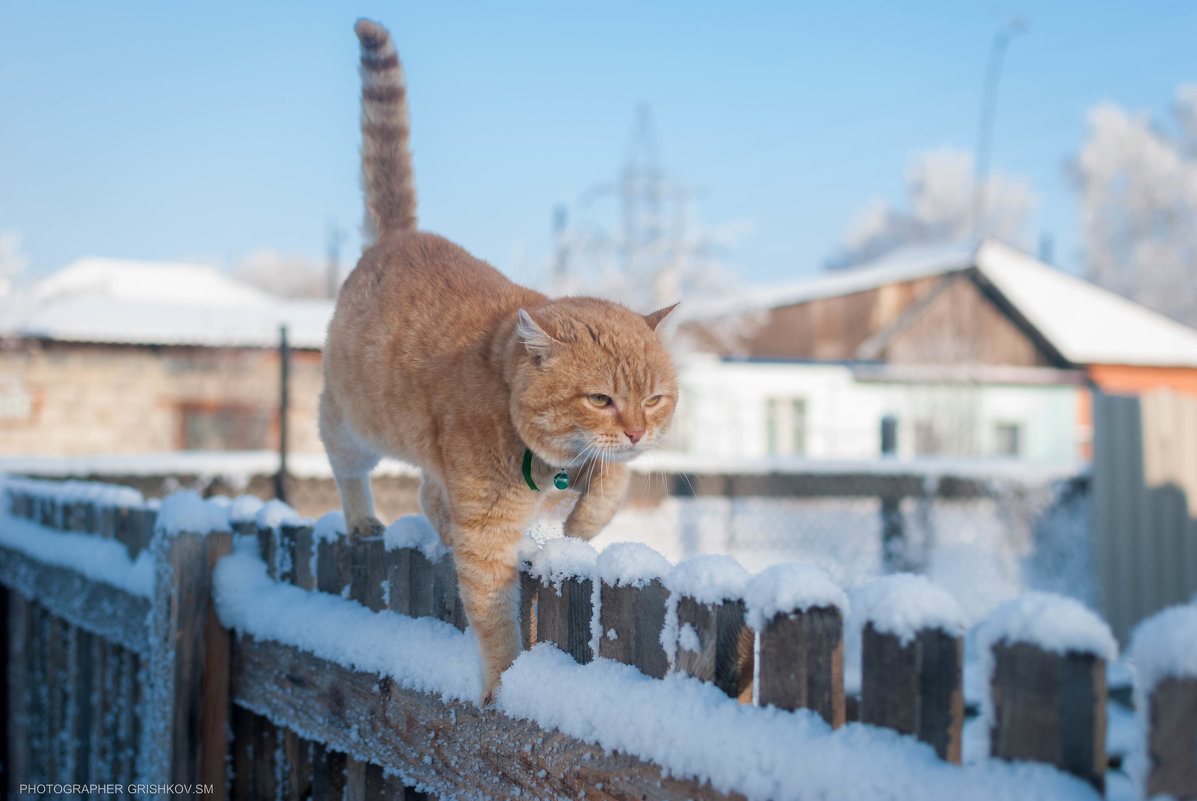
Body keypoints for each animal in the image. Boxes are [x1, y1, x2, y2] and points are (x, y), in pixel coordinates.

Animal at [323, 18, 679, 704]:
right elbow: (492, 616)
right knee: (352, 469)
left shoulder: (594, 468)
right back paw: (363, 520)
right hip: (350, 424)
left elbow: (608, 492)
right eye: (600, 398)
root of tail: (398, 236)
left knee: (429, 496)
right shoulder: (487, 530)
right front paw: (502, 682)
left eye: (653, 399)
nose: (637, 432)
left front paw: (580, 527)